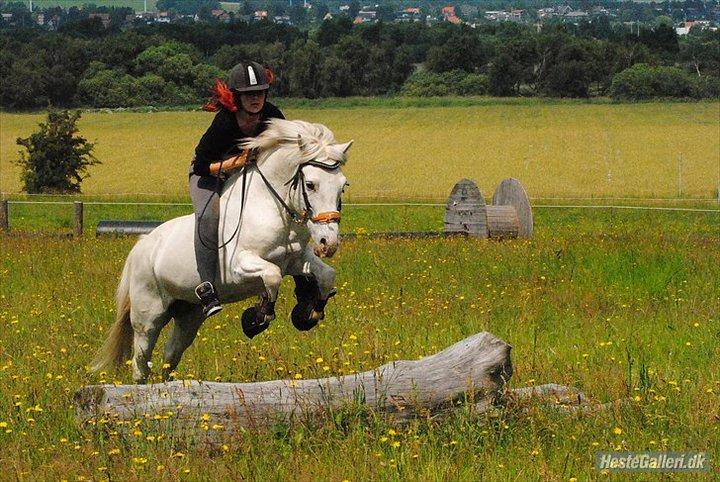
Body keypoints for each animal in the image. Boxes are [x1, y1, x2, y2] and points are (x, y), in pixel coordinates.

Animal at [93, 118, 352, 382]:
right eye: (310, 184)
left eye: (342, 187)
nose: (328, 243)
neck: (271, 208)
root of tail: (142, 246)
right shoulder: (240, 266)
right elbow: (272, 276)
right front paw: (257, 318)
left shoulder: (297, 260)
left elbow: (326, 275)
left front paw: (310, 313)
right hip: (148, 314)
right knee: (141, 361)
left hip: (189, 313)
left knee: (170, 355)